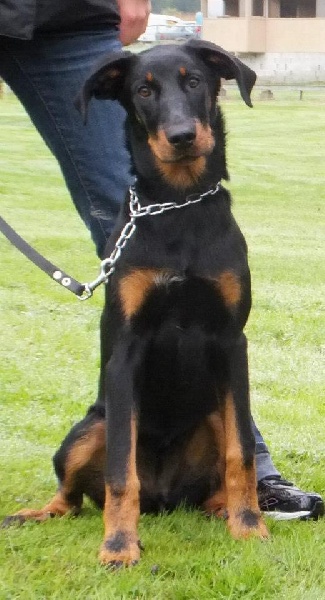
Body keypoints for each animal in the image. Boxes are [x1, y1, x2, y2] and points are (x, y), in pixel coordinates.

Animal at [2, 42, 268, 568]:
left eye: (194, 81)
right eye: (143, 91)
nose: (182, 137)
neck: (179, 205)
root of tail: (163, 499)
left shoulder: (232, 343)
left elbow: (242, 452)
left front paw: (248, 526)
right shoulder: (126, 350)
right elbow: (121, 470)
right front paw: (119, 546)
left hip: (211, 413)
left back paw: (222, 508)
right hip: (91, 426)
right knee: (72, 496)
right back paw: (37, 514)